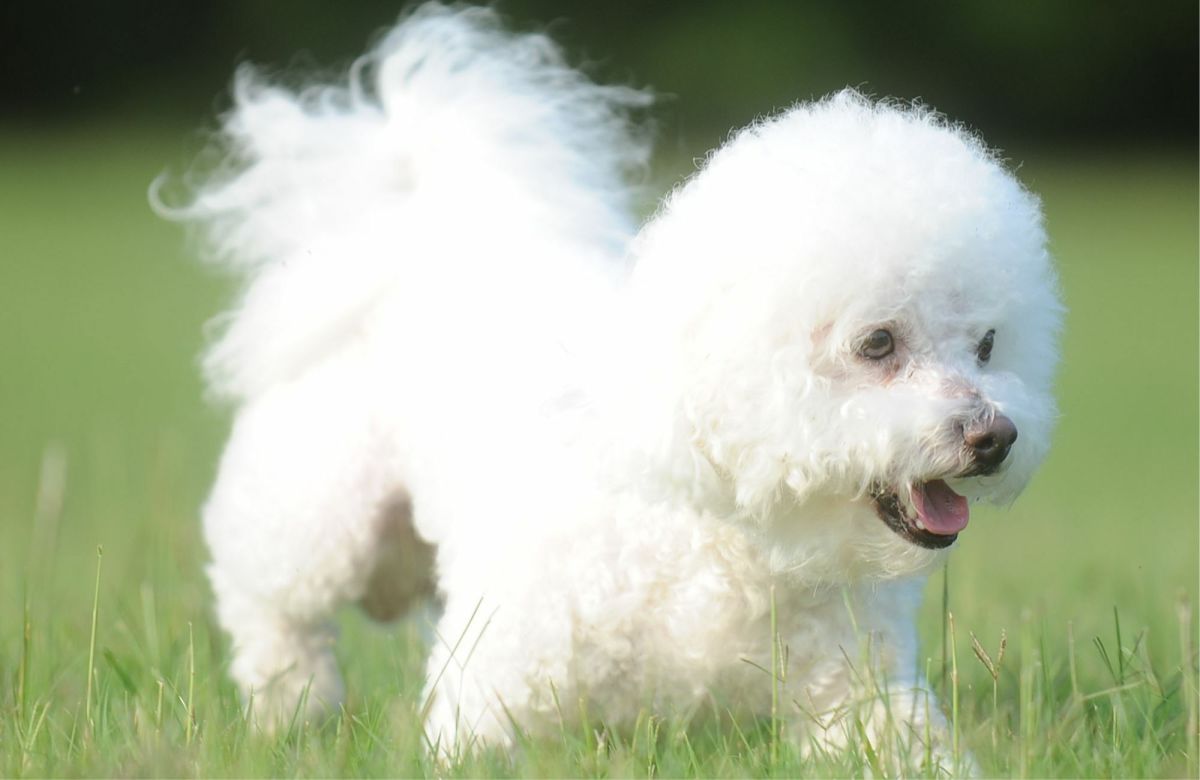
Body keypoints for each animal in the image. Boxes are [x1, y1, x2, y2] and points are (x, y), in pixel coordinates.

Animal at [171, 0, 1060, 763]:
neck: (719, 529)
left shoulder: (859, 693)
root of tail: (424, 234)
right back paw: (289, 707)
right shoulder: (495, 676)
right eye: (877, 342)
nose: (994, 436)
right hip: (321, 512)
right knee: (269, 602)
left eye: (987, 344)